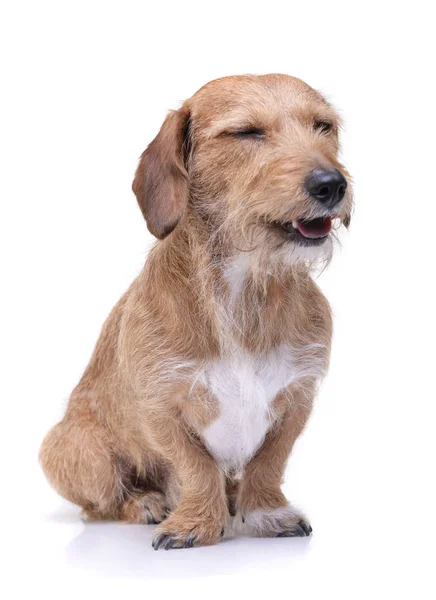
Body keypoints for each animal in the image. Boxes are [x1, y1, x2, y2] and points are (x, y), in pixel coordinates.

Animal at [39, 75, 352, 548]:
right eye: (246, 132)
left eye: (323, 126)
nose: (331, 184)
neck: (244, 287)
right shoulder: (162, 407)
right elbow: (195, 467)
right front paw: (196, 523)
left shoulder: (296, 399)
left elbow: (268, 463)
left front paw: (267, 511)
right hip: (81, 453)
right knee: (100, 503)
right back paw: (145, 502)